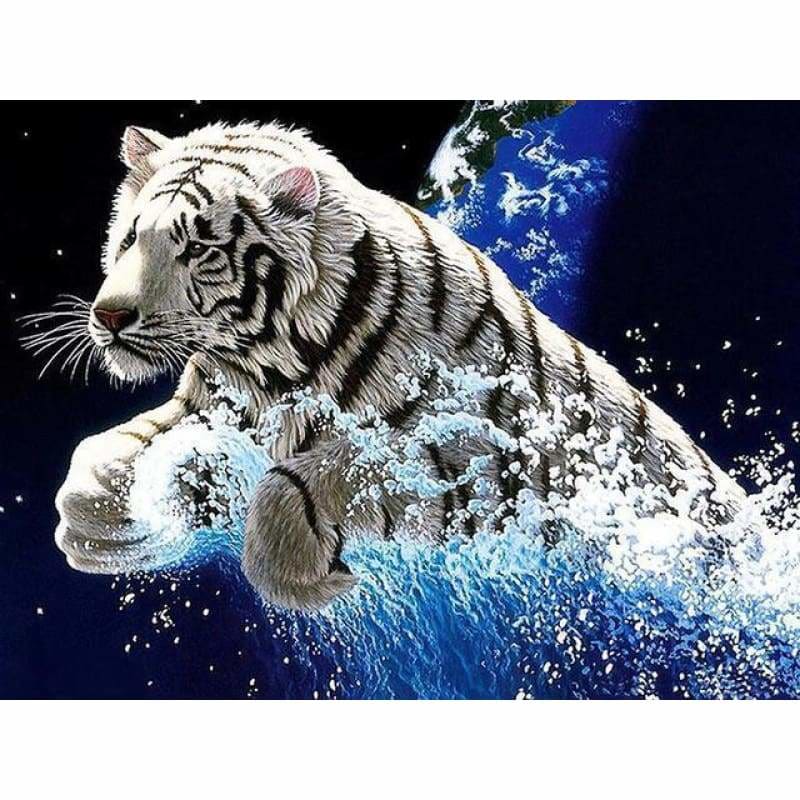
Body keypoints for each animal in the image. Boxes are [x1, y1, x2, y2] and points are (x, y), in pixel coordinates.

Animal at [53, 122, 746, 610]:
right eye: (130, 238)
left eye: (198, 248)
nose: (109, 316)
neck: (268, 364)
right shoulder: (212, 404)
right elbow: (110, 448)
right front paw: (96, 519)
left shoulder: (471, 460)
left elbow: (312, 476)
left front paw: (311, 580)